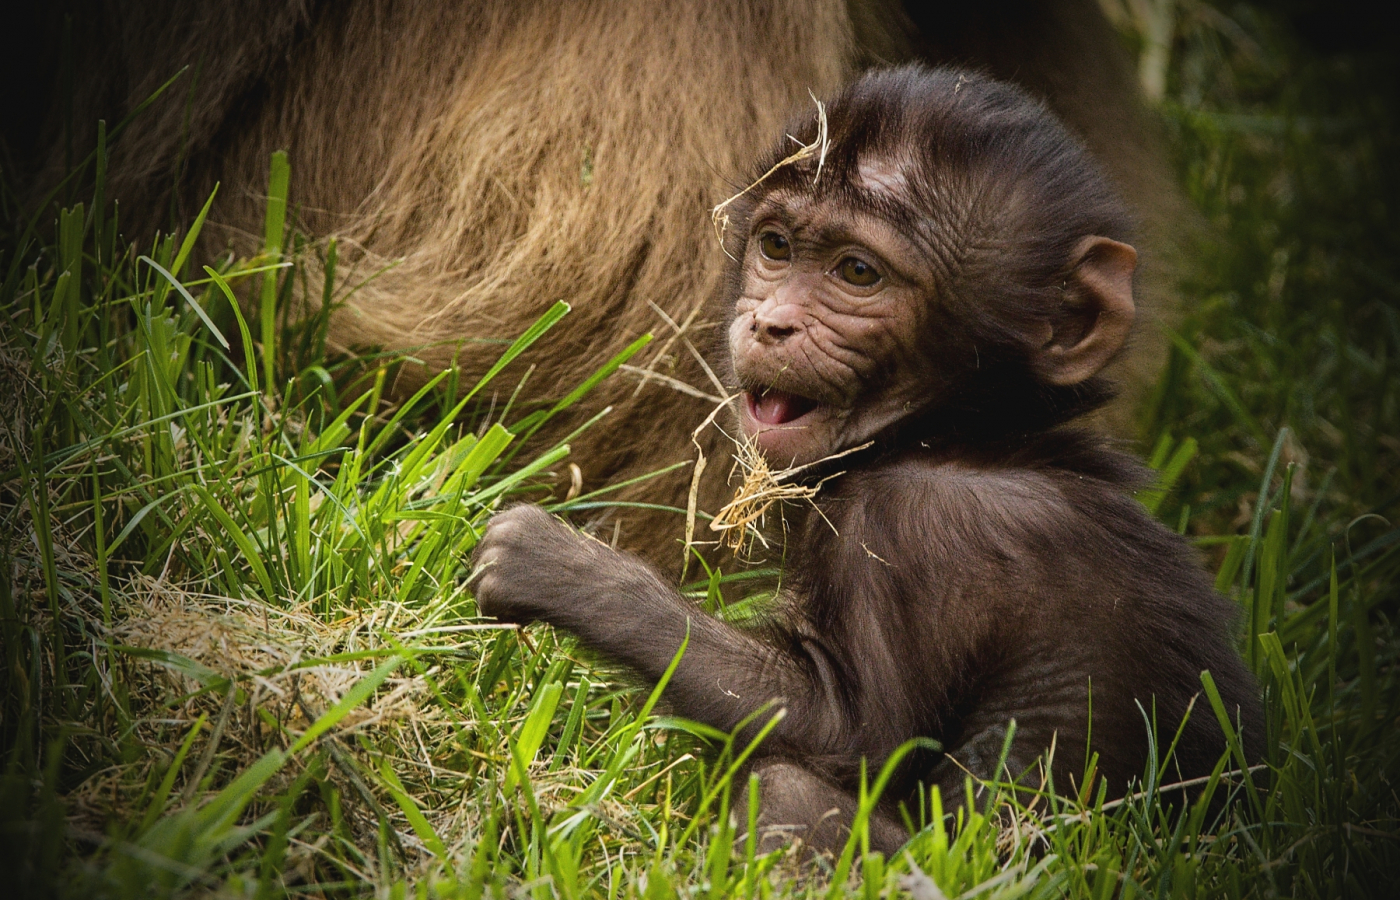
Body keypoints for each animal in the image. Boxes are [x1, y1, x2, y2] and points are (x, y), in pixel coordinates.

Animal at [473, 66, 1271, 856]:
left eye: (857, 272)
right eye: (776, 247)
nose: (770, 322)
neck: (965, 433)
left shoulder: (908, 530)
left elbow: (846, 728)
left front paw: (563, 567)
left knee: (788, 787)